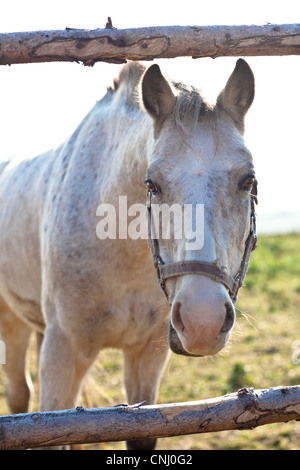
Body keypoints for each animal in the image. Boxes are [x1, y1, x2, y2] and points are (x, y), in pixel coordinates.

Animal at [0, 58, 255, 448]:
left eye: (248, 180)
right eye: (152, 184)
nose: (203, 321)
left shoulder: (146, 354)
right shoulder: (63, 353)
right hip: (12, 322)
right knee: (19, 397)